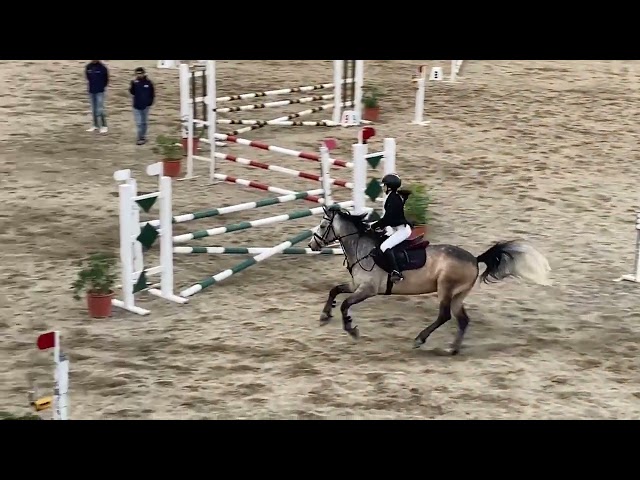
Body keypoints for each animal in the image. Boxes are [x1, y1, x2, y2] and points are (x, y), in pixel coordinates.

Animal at [308, 205, 552, 355]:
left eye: (323, 226)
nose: (312, 245)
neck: (362, 248)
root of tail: (475, 258)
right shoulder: (356, 285)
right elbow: (334, 290)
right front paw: (324, 315)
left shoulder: (368, 289)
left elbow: (345, 304)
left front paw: (351, 329)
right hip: (458, 295)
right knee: (463, 320)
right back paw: (453, 349)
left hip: (445, 289)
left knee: (444, 316)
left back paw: (420, 339)